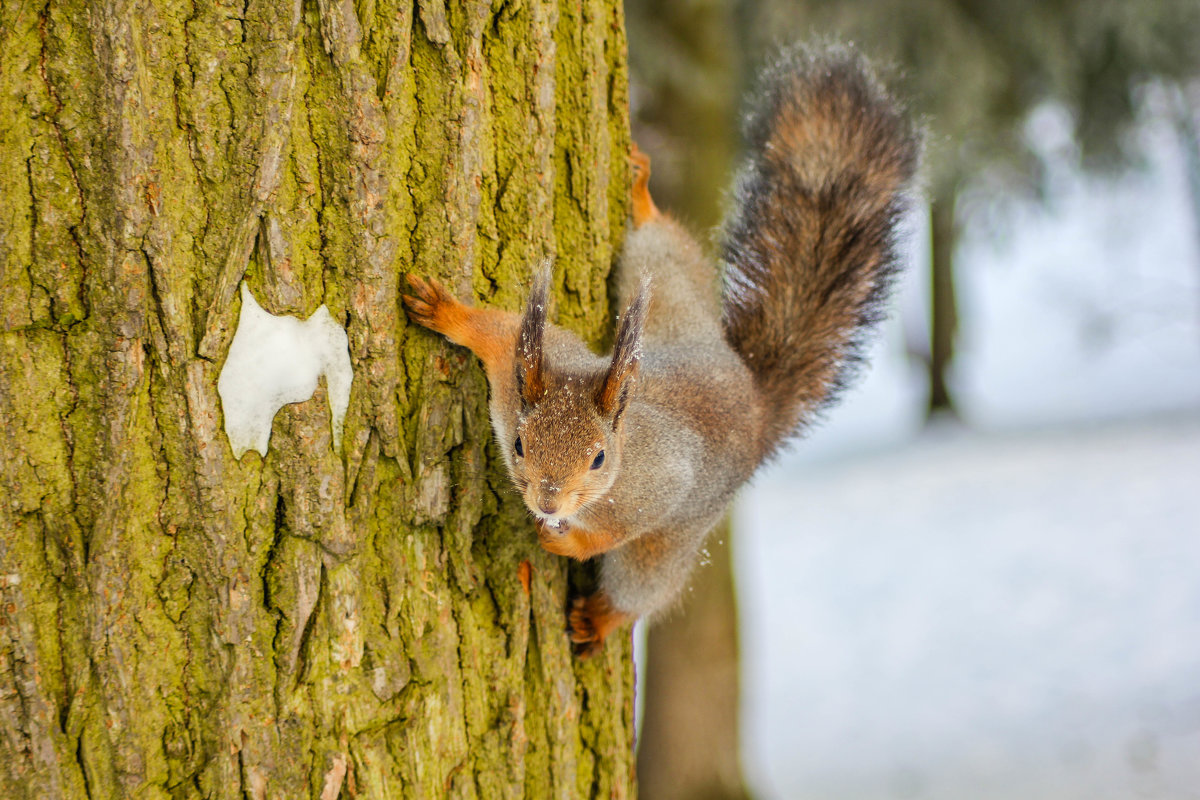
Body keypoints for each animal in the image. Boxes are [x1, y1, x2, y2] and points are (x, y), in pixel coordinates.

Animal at [403, 43, 916, 657]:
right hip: (674, 303)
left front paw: (571, 543)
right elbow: (493, 331)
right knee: (662, 253)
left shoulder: (661, 483)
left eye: (600, 459)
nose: (549, 503)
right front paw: (443, 311)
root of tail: (752, 400)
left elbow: (620, 528)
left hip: (675, 541)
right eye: (521, 445)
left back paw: (602, 619)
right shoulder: (516, 372)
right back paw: (642, 200)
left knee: (643, 584)